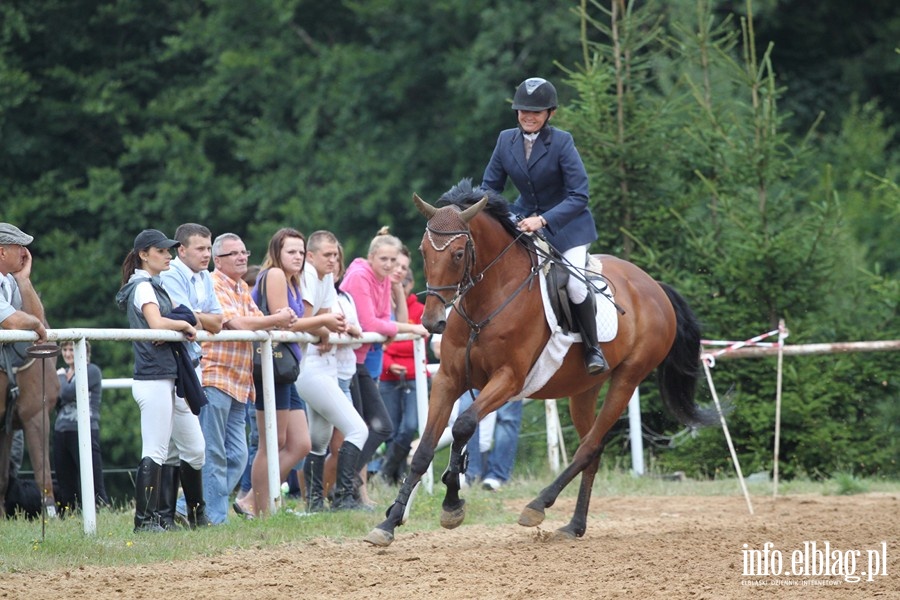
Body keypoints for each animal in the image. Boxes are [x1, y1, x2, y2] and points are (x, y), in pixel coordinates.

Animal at [366, 180, 716, 548]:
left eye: (458, 254)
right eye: (423, 251)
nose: (432, 322)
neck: (486, 301)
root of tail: (653, 286)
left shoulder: (508, 380)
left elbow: (463, 426)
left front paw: (451, 503)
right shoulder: (449, 379)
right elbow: (423, 449)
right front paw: (389, 523)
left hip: (628, 378)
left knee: (589, 446)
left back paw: (538, 505)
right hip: (584, 389)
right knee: (593, 448)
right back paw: (574, 525)